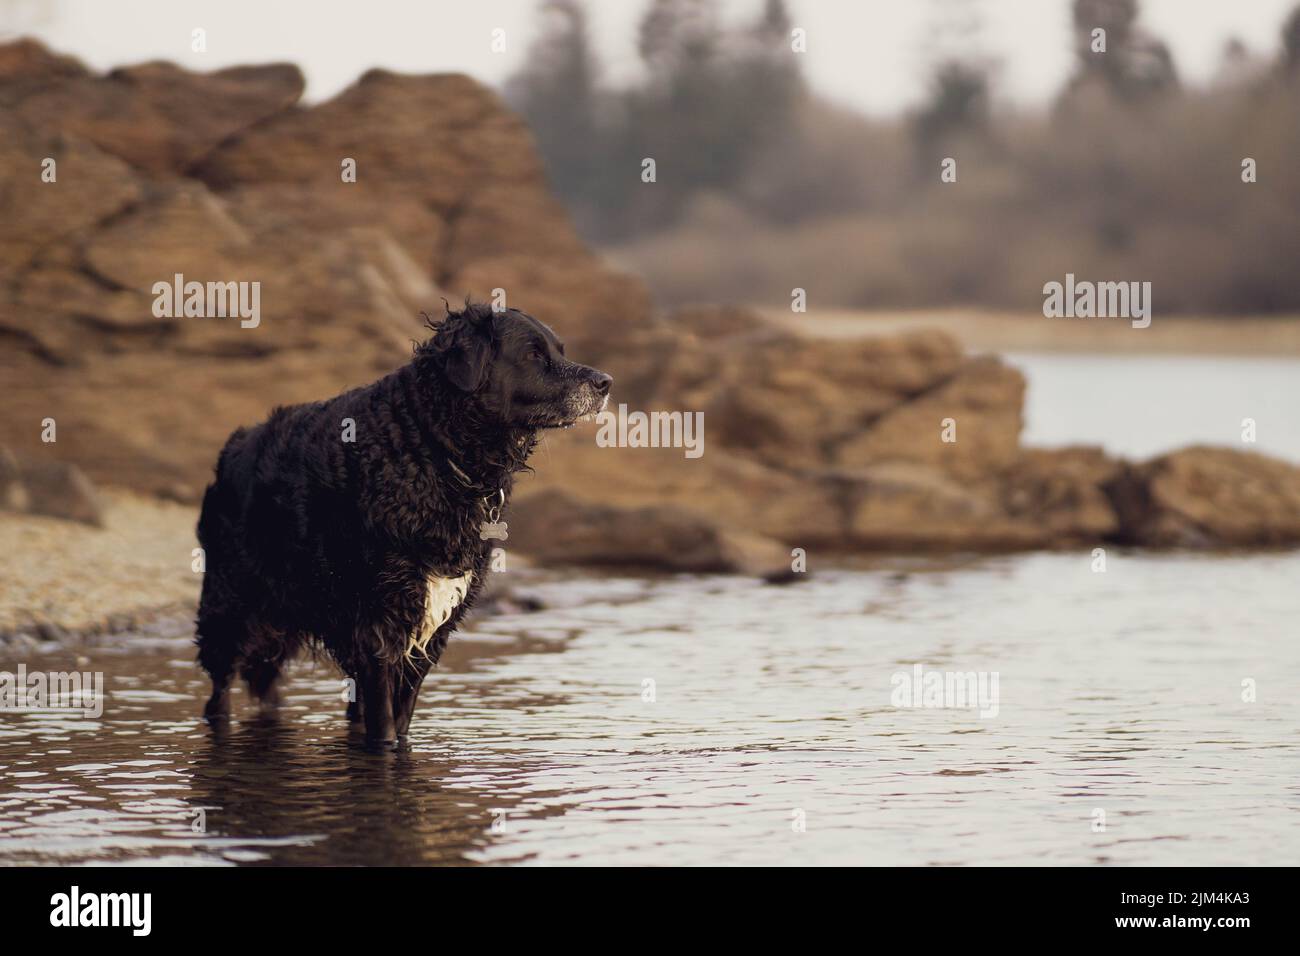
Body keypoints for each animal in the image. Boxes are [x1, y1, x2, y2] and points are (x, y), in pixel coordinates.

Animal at [193, 304, 613, 749]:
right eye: (533, 354)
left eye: (560, 350)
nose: (606, 382)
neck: (431, 451)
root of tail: (235, 446)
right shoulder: (378, 623)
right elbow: (384, 726)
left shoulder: (430, 627)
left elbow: (402, 716)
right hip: (231, 610)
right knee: (219, 692)